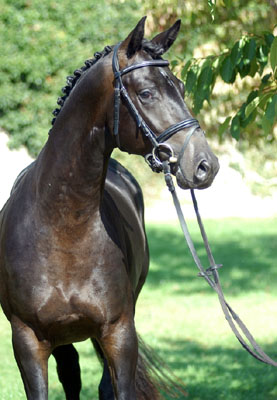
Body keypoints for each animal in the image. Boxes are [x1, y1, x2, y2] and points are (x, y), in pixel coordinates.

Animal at [0, 17, 219, 398]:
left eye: (180, 86)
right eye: (146, 93)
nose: (205, 164)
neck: (63, 227)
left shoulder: (119, 332)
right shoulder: (27, 340)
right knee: (71, 375)